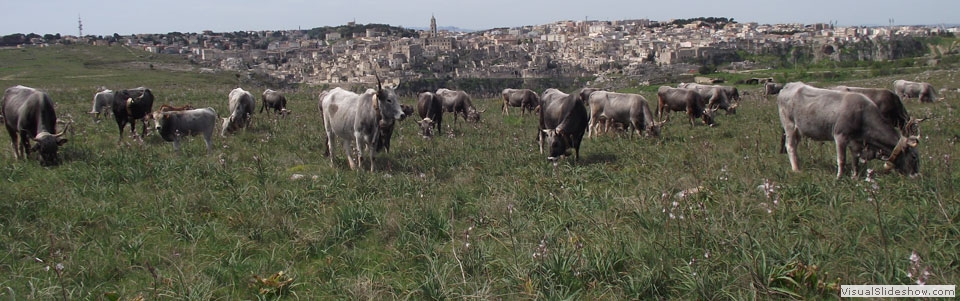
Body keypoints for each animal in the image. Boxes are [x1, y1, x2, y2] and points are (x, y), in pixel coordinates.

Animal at [776, 81, 920, 177]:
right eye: (914, 157)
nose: (917, 176)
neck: (863, 113)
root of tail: (789, 86)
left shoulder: (856, 141)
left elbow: (855, 159)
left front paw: (855, 176)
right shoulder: (840, 136)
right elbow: (842, 159)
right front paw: (839, 177)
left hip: (799, 130)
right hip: (789, 126)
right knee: (790, 146)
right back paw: (796, 169)